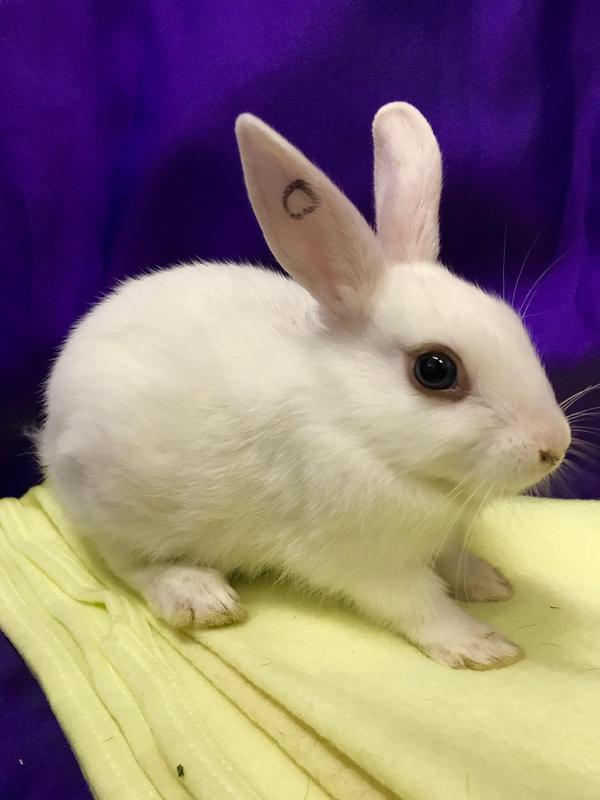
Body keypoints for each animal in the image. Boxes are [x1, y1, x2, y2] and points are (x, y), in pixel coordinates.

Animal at [38, 102, 571, 670]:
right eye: (435, 370)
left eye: (512, 324)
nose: (552, 447)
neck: (359, 428)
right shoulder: (366, 560)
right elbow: (419, 604)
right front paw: (483, 647)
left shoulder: (440, 537)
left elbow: (453, 559)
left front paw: (490, 582)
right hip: (119, 508)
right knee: (126, 564)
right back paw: (200, 596)